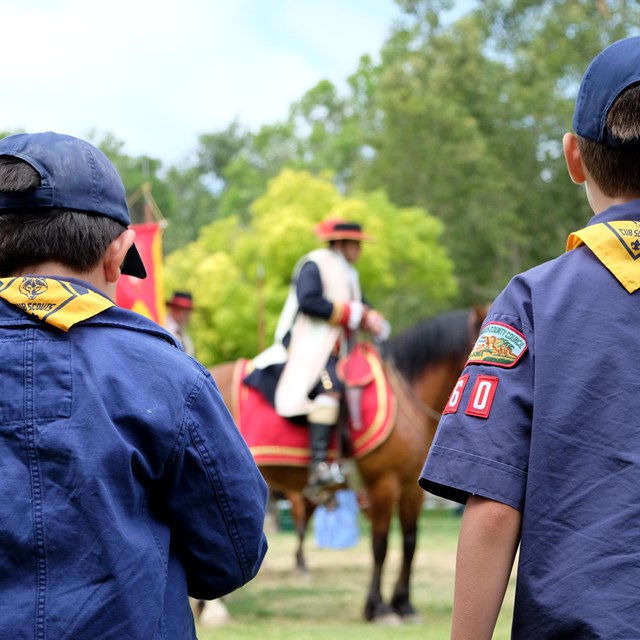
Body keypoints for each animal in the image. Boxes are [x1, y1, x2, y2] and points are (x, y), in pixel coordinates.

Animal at [210, 308, 484, 624]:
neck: (407, 399)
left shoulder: (411, 489)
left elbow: (410, 543)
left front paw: (404, 604)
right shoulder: (383, 484)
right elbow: (380, 546)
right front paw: (378, 608)